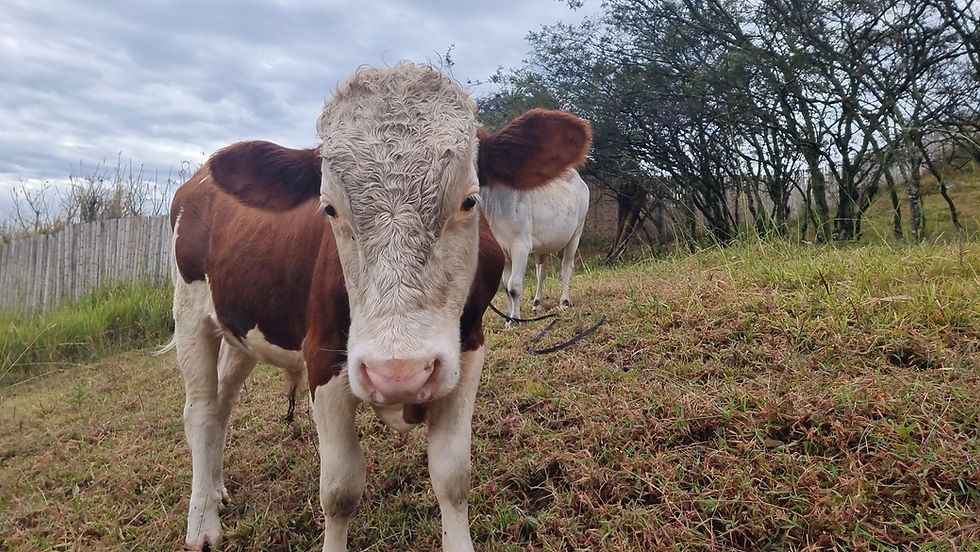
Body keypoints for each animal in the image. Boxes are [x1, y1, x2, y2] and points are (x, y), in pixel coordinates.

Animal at [480, 168, 590, 323]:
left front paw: (514, 320)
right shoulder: (504, 253)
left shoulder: (520, 246)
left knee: (566, 267)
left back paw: (564, 303)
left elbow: (514, 286)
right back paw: (536, 305)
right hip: (543, 247)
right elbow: (506, 287)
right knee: (541, 273)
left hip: (576, 234)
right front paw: (508, 318)